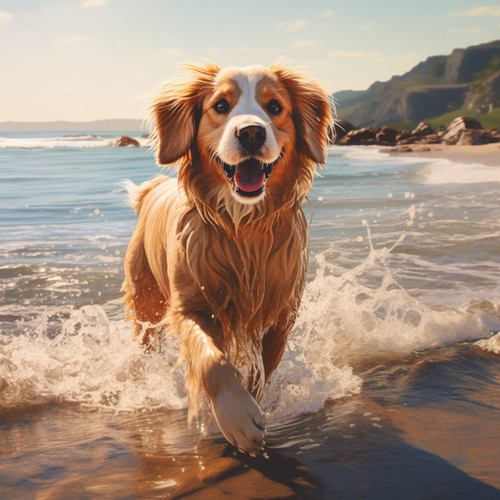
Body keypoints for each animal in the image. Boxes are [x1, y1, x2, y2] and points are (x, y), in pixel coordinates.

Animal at [121, 61, 332, 454]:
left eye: (275, 106)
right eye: (220, 105)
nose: (251, 133)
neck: (242, 228)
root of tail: (153, 189)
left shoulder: (281, 316)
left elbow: (260, 373)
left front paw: (255, 403)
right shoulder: (190, 305)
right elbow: (212, 360)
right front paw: (237, 417)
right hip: (145, 302)